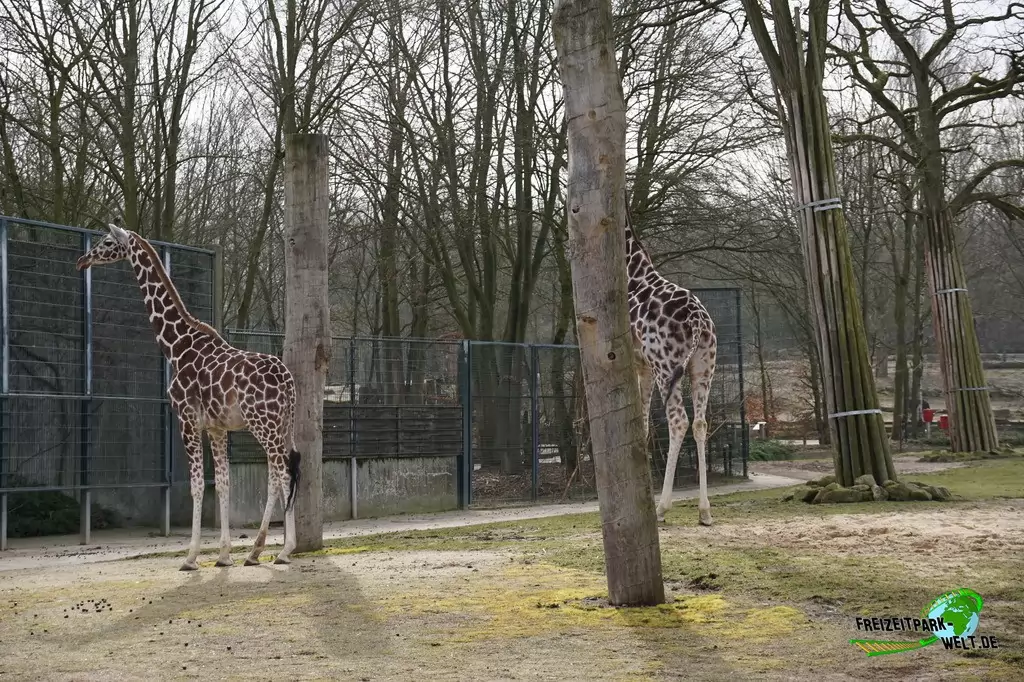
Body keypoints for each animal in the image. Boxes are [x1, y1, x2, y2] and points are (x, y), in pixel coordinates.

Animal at [77, 223, 301, 570]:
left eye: (108, 241)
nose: (83, 260)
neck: (176, 346)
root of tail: (288, 381)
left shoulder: (186, 420)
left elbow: (196, 486)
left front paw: (191, 556)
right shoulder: (217, 428)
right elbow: (222, 484)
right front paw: (223, 555)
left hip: (264, 424)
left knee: (284, 474)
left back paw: (282, 549)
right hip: (282, 425)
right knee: (278, 476)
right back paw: (256, 551)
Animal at [624, 202, 717, 526]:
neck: (631, 272)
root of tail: (698, 321)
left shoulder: (639, 363)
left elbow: (642, 423)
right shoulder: (644, 366)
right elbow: (643, 426)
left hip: (667, 368)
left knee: (679, 421)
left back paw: (663, 508)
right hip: (704, 368)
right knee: (700, 422)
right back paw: (704, 510)